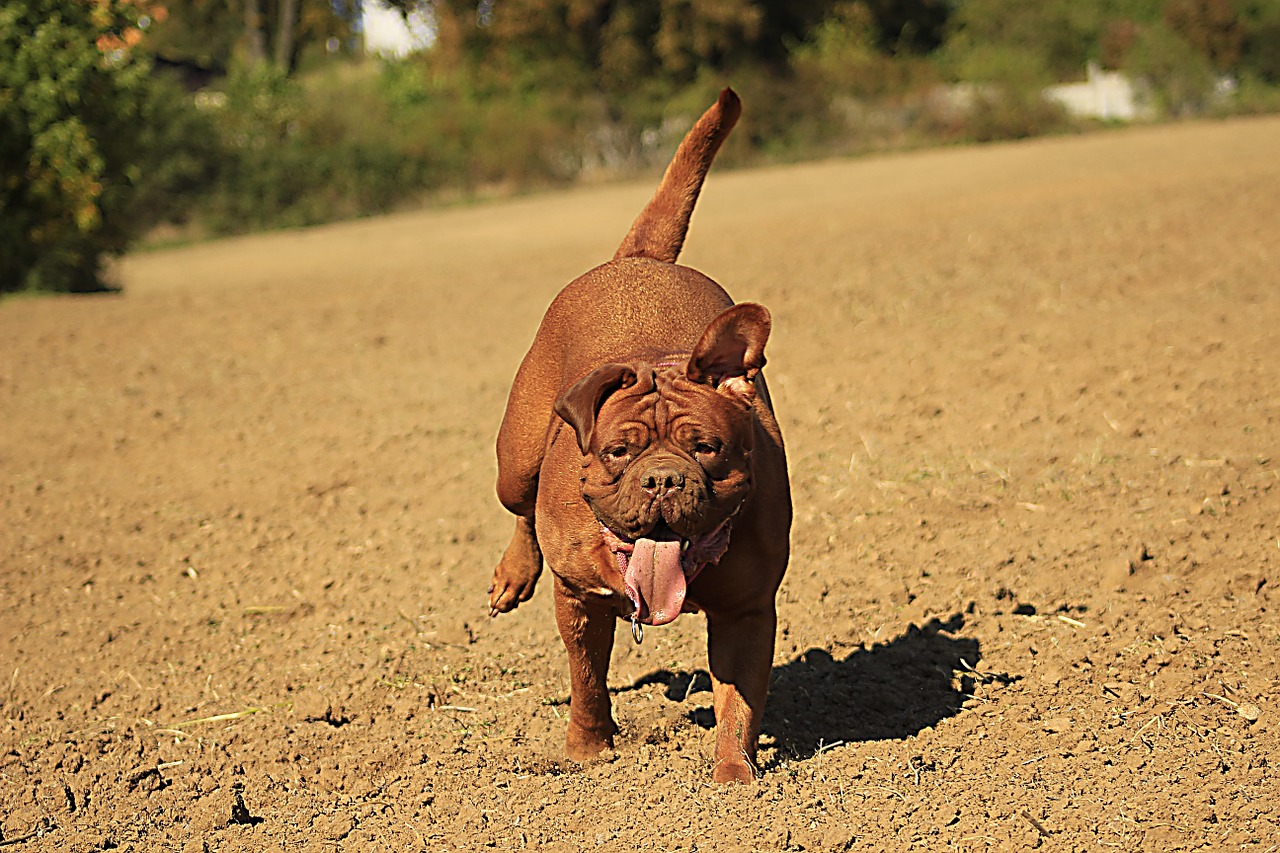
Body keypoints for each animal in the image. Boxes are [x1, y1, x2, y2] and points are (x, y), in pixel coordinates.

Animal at [488, 89, 788, 778]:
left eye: (707, 448)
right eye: (618, 452)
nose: (663, 481)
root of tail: (640, 259)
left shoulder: (747, 611)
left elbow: (740, 702)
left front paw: (736, 780)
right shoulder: (580, 596)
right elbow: (587, 680)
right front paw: (588, 752)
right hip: (516, 455)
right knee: (519, 505)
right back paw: (514, 574)